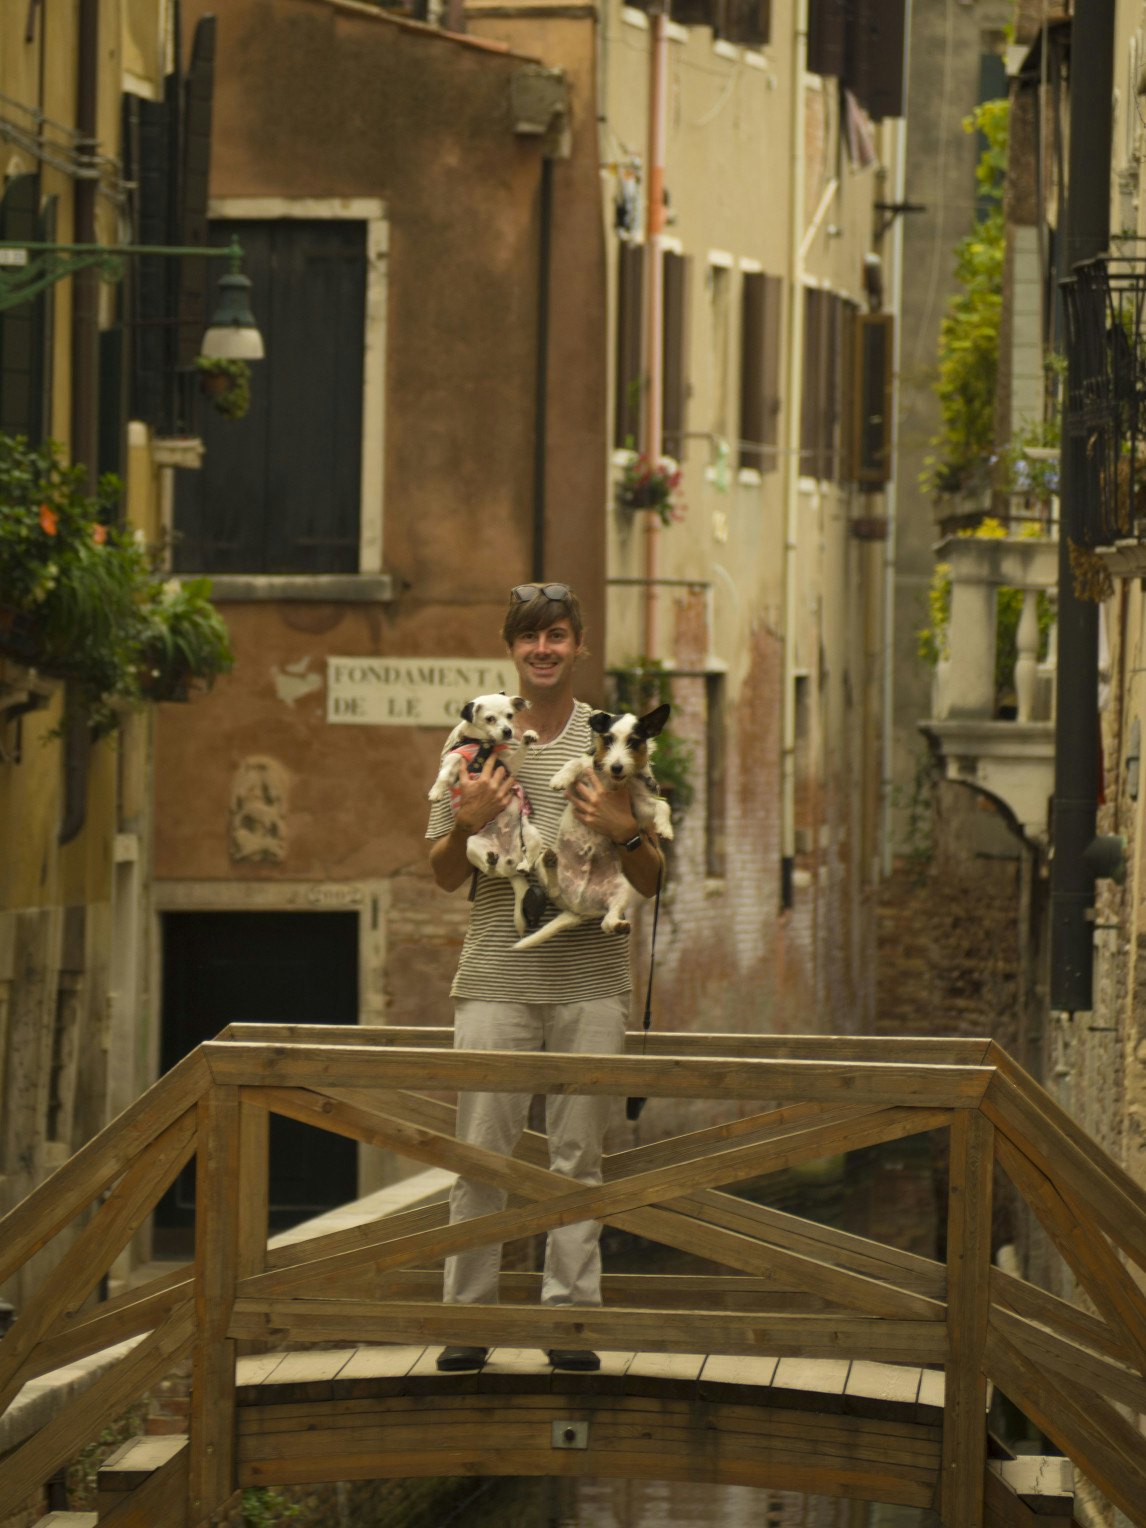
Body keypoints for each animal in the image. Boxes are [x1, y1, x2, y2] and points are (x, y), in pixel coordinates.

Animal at [513, 705, 672, 947]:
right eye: (608, 739)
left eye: (634, 742)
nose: (616, 767)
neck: (612, 781)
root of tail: (577, 909)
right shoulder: (584, 778)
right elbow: (576, 762)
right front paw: (560, 778)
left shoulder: (639, 804)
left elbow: (663, 806)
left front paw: (665, 828)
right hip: (542, 868)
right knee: (552, 888)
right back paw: (550, 862)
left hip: (623, 889)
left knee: (606, 922)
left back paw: (618, 925)